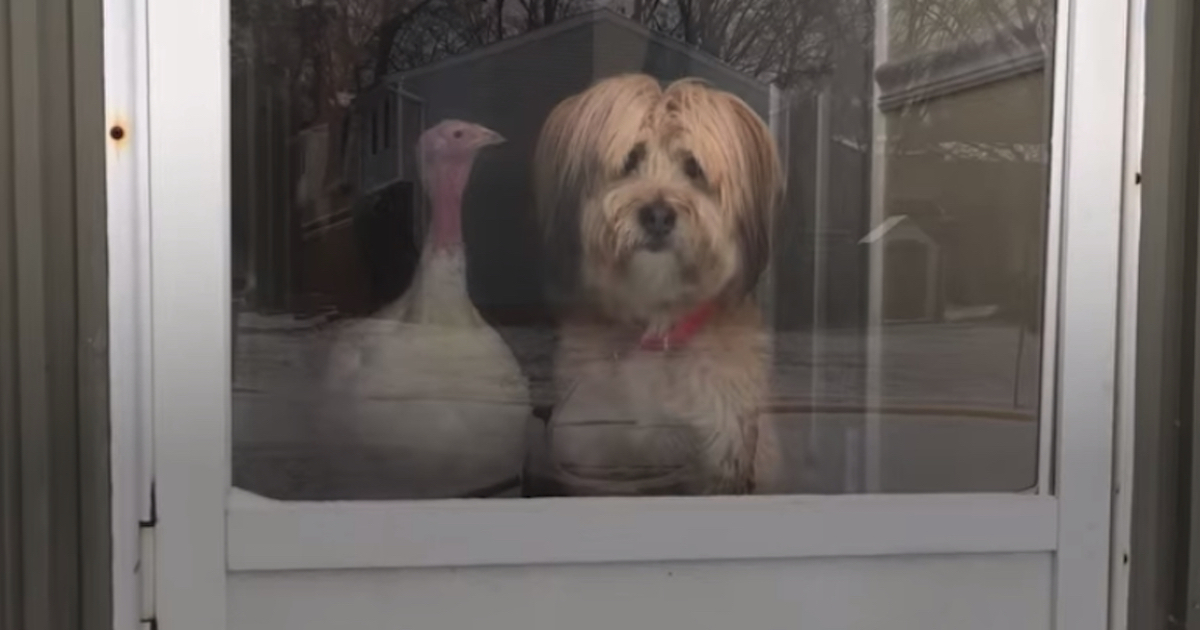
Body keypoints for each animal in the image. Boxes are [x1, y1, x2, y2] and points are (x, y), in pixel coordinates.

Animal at [530, 73, 782, 496]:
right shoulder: (595, 457)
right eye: (630, 159)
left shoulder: (718, 456)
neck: (656, 327)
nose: (659, 216)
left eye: (694, 167)